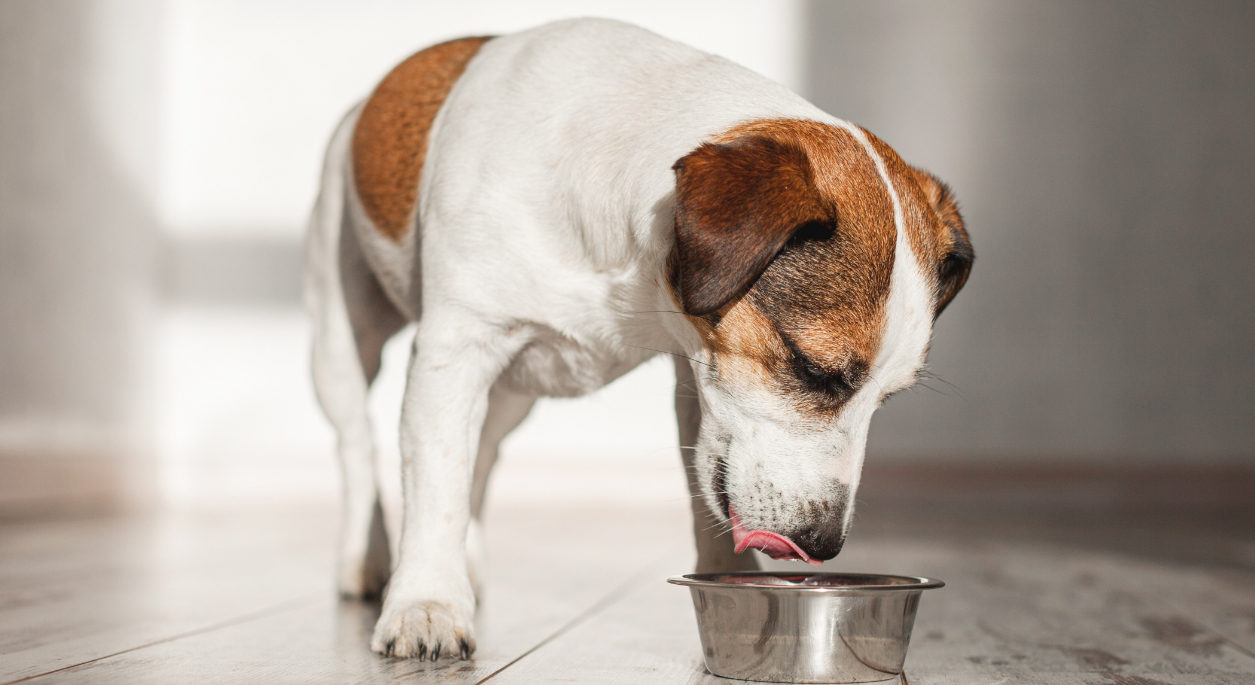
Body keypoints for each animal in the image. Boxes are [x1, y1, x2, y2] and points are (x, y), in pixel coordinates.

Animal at [303, 18, 968, 657]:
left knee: (484, 450)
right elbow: (436, 479)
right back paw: (366, 560)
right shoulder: (455, 351)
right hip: (343, 337)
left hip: (516, 392)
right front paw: (427, 604)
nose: (822, 544)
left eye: (888, 399)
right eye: (811, 368)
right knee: (357, 442)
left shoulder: (693, 374)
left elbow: (703, 492)